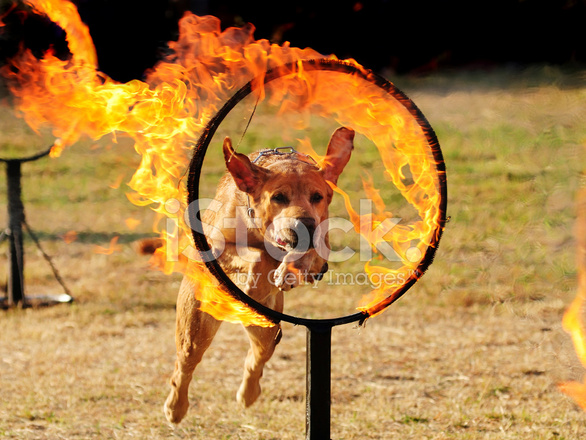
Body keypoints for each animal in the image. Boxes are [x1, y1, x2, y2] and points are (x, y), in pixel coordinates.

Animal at [163, 126, 352, 422]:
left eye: (317, 196)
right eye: (278, 197)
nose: (305, 226)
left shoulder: (320, 254)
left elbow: (304, 257)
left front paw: (285, 271)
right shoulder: (216, 246)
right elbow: (256, 255)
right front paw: (260, 278)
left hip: (267, 329)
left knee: (256, 359)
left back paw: (248, 395)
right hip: (194, 325)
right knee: (185, 365)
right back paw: (175, 408)